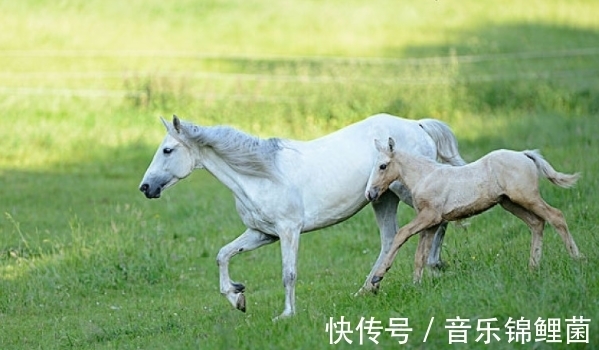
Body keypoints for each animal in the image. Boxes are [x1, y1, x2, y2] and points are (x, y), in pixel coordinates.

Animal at [138, 113, 466, 318]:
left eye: (167, 150)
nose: (145, 187)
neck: (262, 175)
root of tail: (418, 124)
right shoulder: (262, 234)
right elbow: (223, 255)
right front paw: (238, 297)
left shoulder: (288, 231)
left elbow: (288, 274)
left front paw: (286, 314)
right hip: (382, 198)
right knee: (389, 240)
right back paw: (368, 288)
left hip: (404, 190)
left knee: (439, 217)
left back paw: (434, 265)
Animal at [366, 137, 580, 290]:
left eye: (383, 166)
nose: (370, 194)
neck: (425, 176)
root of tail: (524, 154)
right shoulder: (432, 223)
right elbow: (420, 255)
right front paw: (416, 286)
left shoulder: (430, 216)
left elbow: (402, 234)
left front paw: (378, 276)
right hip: (510, 203)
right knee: (537, 223)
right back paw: (533, 268)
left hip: (527, 197)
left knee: (556, 216)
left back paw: (577, 259)